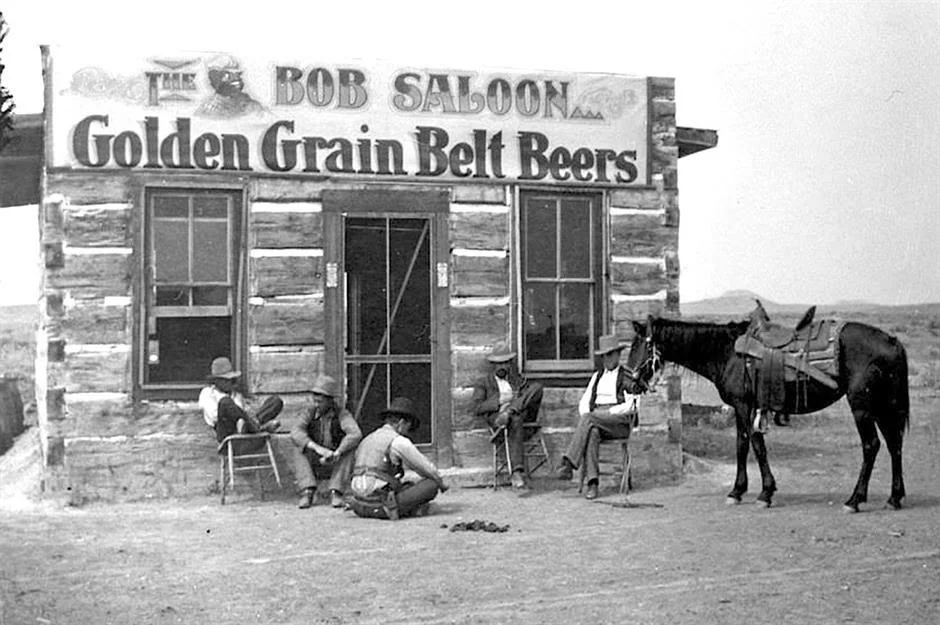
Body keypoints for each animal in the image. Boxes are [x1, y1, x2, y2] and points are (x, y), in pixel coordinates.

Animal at [624, 310, 912, 510]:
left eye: (638, 346)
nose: (627, 383)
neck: (726, 354)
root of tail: (892, 341)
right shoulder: (744, 407)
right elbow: (746, 445)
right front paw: (746, 491)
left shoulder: (744, 405)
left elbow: (752, 445)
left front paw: (757, 493)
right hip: (884, 405)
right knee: (894, 444)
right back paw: (894, 498)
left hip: (862, 406)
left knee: (872, 445)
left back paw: (854, 500)